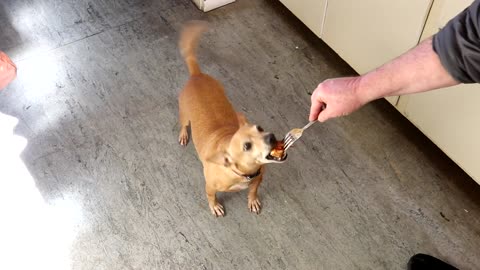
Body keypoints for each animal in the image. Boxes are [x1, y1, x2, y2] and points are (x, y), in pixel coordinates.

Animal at [179, 20, 284, 217]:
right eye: (247, 146)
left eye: (260, 128)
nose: (271, 137)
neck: (242, 173)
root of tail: (196, 75)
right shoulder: (210, 187)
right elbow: (211, 197)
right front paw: (215, 206)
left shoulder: (258, 180)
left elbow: (253, 191)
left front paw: (252, 201)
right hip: (184, 115)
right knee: (183, 124)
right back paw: (183, 134)